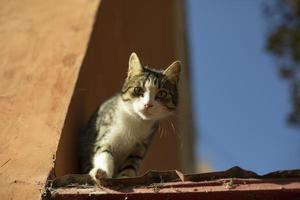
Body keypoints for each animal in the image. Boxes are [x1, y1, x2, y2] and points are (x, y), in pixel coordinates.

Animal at [78, 52, 180, 182]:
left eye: (162, 93)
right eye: (138, 89)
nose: (148, 104)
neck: (135, 121)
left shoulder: (140, 146)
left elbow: (130, 165)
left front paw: (125, 177)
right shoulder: (105, 132)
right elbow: (103, 152)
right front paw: (102, 171)